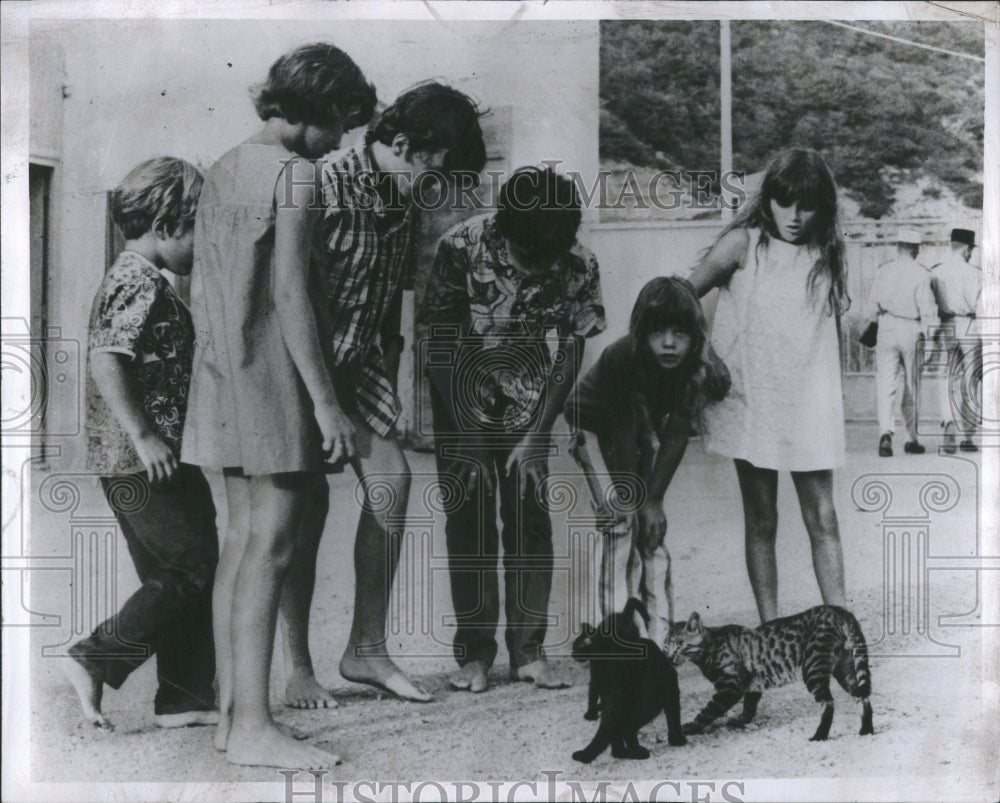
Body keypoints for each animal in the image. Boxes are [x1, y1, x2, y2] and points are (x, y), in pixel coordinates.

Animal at [572, 600, 688, 764]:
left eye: (576, 646)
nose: (572, 654)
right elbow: (673, 714)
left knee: (621, 725)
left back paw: (622, 751)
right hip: (647, 701)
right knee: (625, 725)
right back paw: (632, 752)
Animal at [664, 608, 876, 744]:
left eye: (680, 645)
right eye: (666, 645)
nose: (668, 656)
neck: (710, 647)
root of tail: (839, 611)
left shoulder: (731, 687)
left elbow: (708, 711)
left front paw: (689, 727)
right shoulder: (752, 684)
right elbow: (749, 707)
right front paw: (741, 720)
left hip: (813, 669)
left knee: (829, 703)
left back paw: (820, 735)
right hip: (845, 670)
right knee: (863, 697)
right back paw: (866, 730)